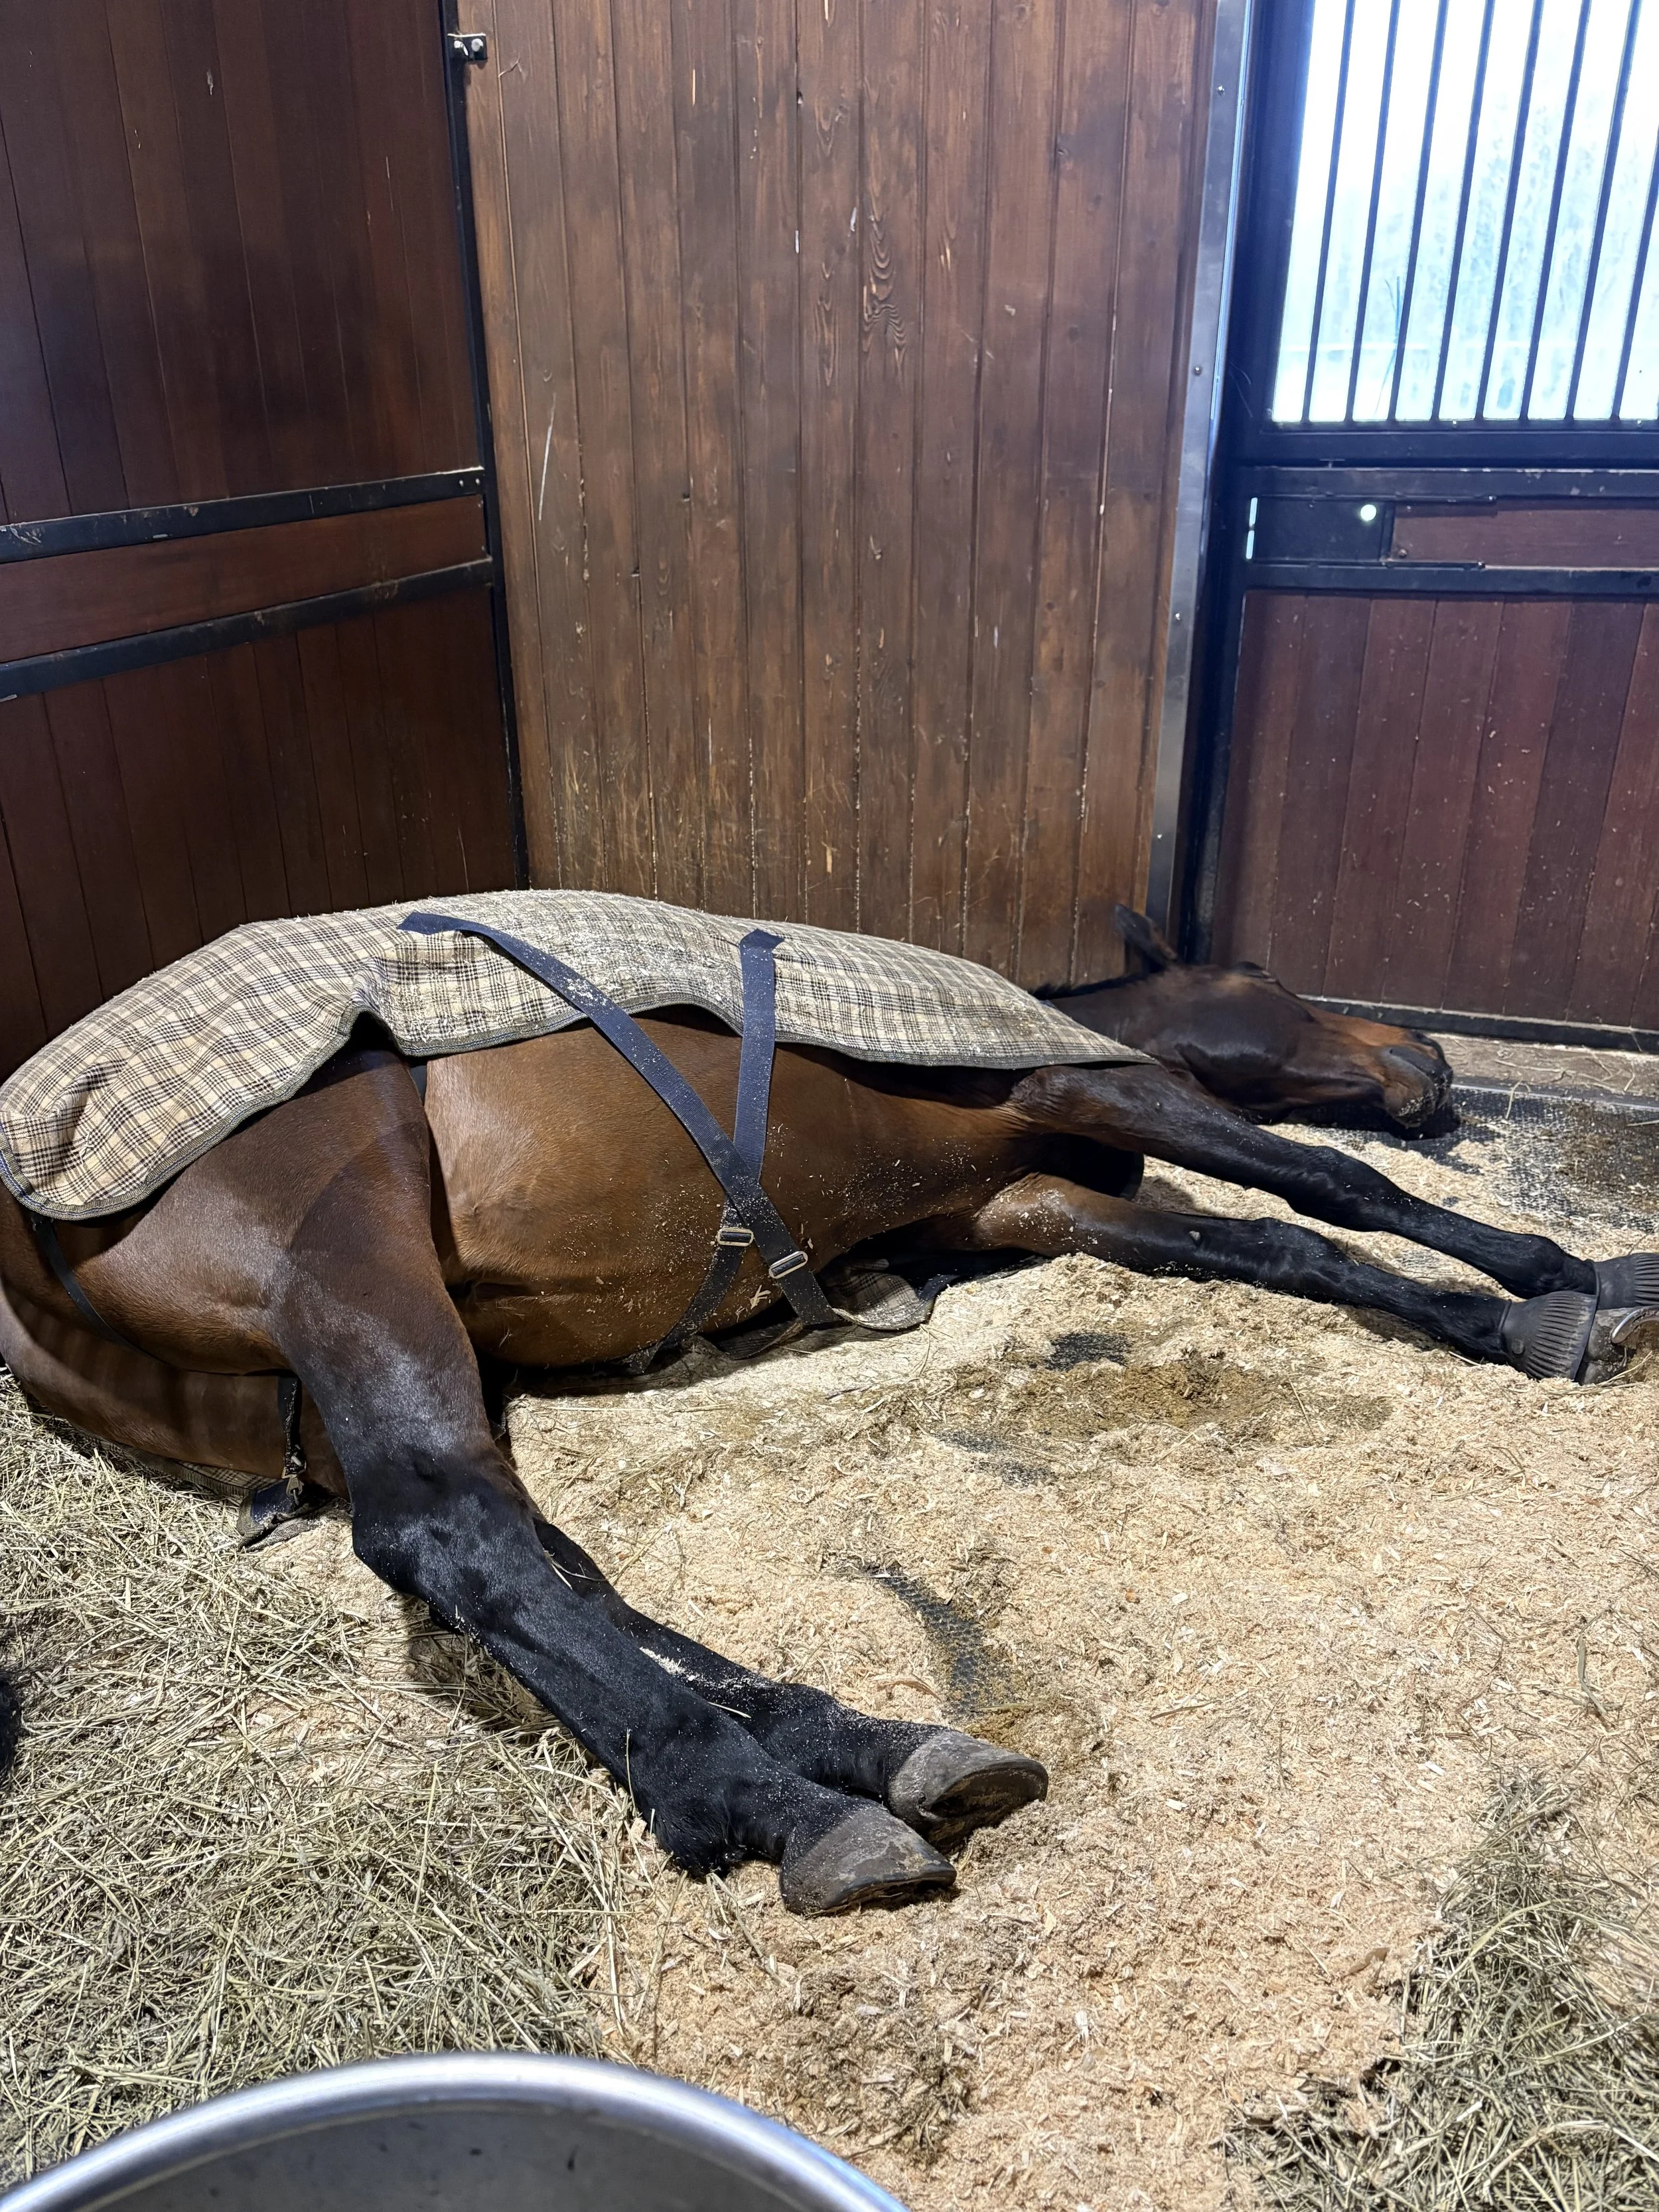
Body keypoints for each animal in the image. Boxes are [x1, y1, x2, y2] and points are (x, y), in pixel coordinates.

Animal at [0, 901, 1653, 1916]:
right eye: (1271, 982)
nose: (1426, 1058)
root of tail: (28, 1234)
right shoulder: (1084, 1090)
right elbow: (1328, 1182)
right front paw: (1562, 1279)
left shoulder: (1030, 1203)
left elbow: (1284, 1244)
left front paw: (1510, 1305)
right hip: (352, 1272)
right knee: (449, 1529)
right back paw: (767, 1800)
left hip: (352, 1389)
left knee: (546, 1570)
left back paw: (866, 1747)